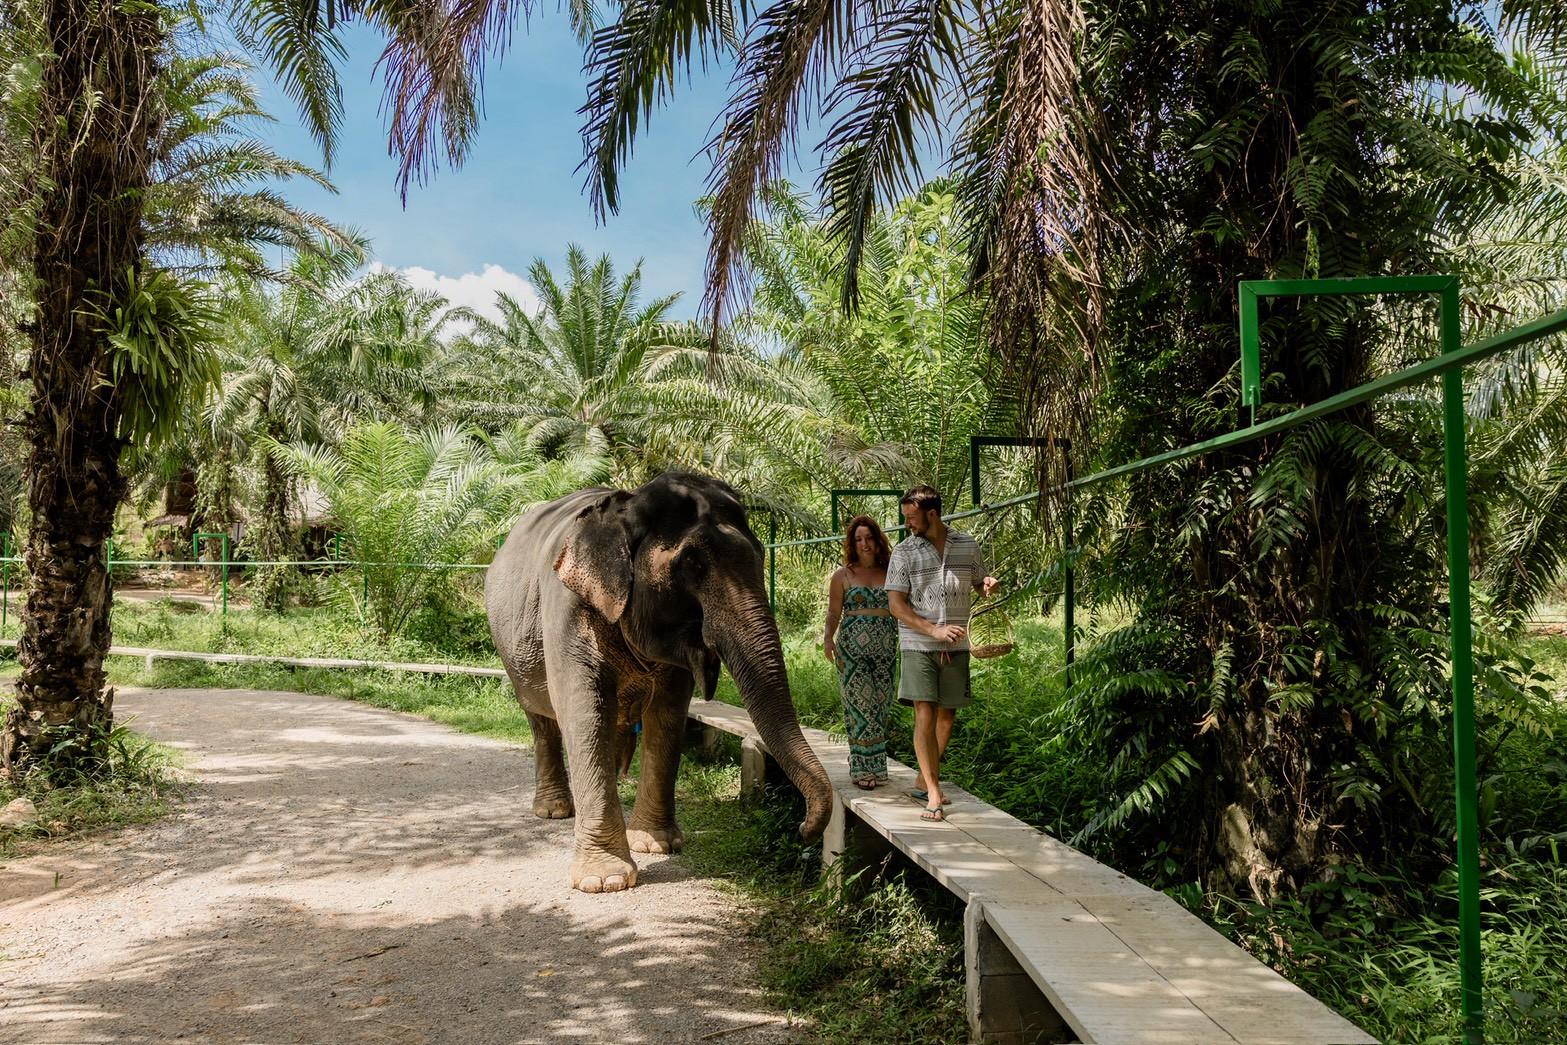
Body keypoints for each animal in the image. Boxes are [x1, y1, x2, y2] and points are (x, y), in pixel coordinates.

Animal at [485, 472, 834, 893]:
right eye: (692, 563)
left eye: (761, 556)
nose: (804, 829)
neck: (625, 506)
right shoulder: (566, 608)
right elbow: (585, 711)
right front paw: (605, 880)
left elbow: (668, 714)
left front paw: (657, 845)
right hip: (514, 653)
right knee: (541, 720)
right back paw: (554, 811)